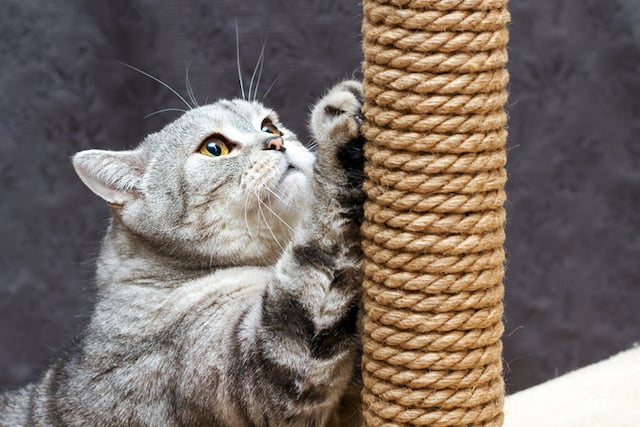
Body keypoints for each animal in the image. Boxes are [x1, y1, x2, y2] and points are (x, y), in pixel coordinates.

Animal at [0, 78, 364, 426]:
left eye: (269, 126)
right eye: (214, 148)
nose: (277, 142)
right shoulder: (274, 365)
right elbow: (324, 230)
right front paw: (338, 125)